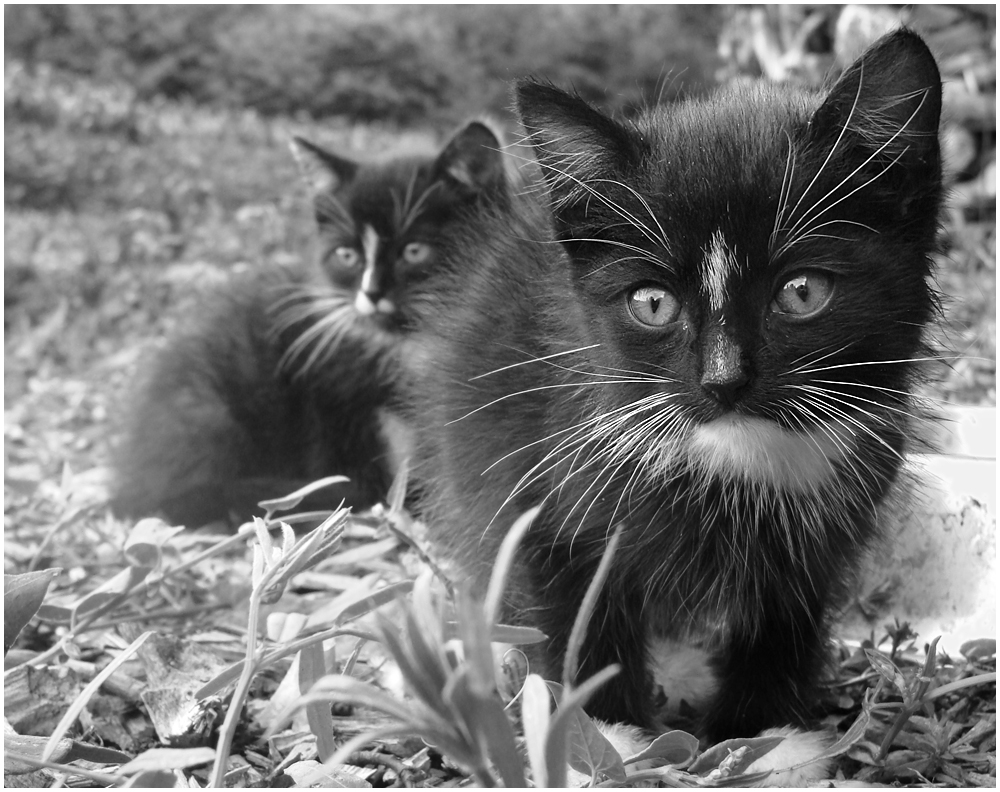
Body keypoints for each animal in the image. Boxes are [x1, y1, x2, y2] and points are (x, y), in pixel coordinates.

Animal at [410, 29, 940, 748]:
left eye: (802, 292)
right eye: (653, 304)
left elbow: (784, 618)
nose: (724, 379)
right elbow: (573, 611)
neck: (736, 460)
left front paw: (760, 737)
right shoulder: (539, 480)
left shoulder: (828, 524)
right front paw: (601, 731)